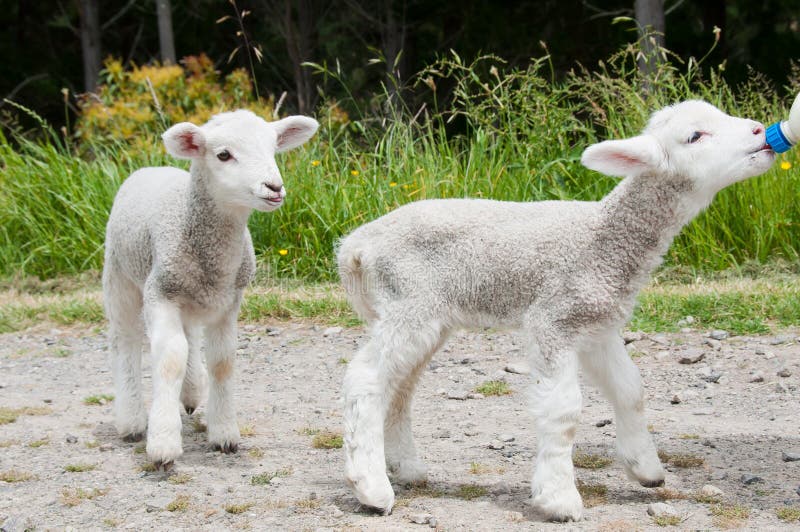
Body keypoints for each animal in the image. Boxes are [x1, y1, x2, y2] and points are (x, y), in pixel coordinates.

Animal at [103, 110, 318, 467]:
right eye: (223, 155)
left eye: (273, 148)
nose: (274, 187)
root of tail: (151, 168)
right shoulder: (160, 292)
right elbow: (170, 358)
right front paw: (163, 444)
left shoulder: (229, 301)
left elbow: (222, 360)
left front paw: (224, 433)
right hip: (120, 275)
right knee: (127, 341)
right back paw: (131, 420)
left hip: (189, 297)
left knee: (189, 337)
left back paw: (191, 393)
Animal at [337, 100, 775, 521]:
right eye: (695, 136)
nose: (759, 131)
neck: (603, 238)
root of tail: (356, 246)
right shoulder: (553, 318)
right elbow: (564, 411)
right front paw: (559, 499)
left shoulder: (597, 323)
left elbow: (631, 390)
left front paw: (645, 468)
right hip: (409, 303)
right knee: (366, 378)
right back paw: (372, 489)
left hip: (423, 315)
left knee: (399, 388)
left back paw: (407, 469)